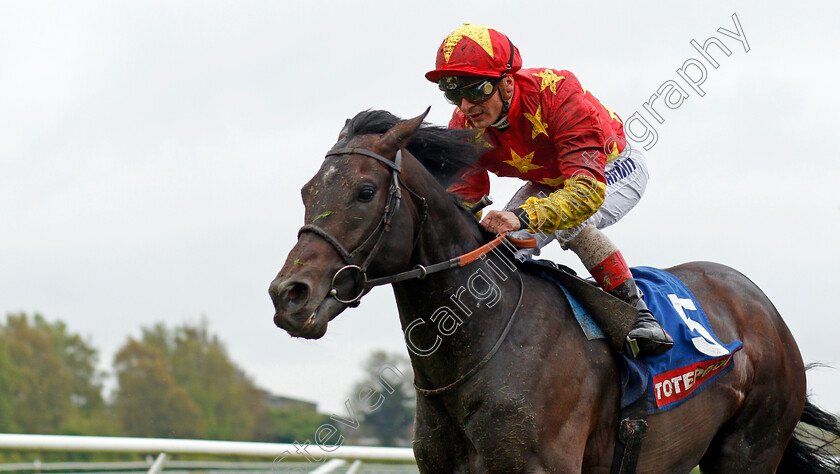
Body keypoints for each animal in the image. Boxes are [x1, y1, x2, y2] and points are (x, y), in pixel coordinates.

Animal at [270, 109, 840, 472]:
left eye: (365, 192)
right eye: (306, 190)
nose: (288, 295)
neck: (483, 339)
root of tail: (760, 305)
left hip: (750, 449)